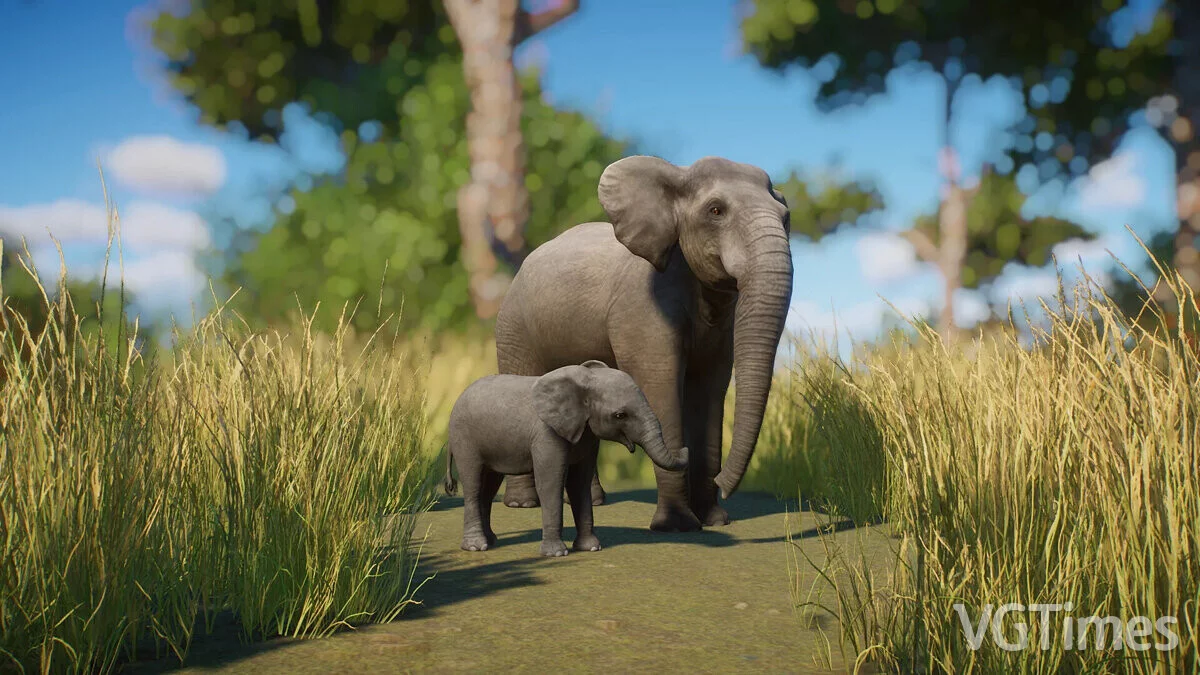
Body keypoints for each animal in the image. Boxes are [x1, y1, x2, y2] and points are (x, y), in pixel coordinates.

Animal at [444, 360, 688, 556]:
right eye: (620, 415)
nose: (686, 448)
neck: (584, 384)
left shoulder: (587, 436)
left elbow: (579, 483)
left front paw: (591, 548)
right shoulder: (546, 433)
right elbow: (551, 483)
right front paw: (557, 554)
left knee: (488, 486)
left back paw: (491, 541)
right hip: (465, 439)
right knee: (474, 485)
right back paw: (476, 547)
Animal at [493, 155, 794, 532]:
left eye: (786, 218)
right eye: (715, 211)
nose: (725, 485)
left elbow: (709, 392)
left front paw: (714, 521)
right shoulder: (643, 305)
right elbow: (659, 386)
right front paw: (678, 527)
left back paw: (592, 500)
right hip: (514, 326)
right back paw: (523, 504)